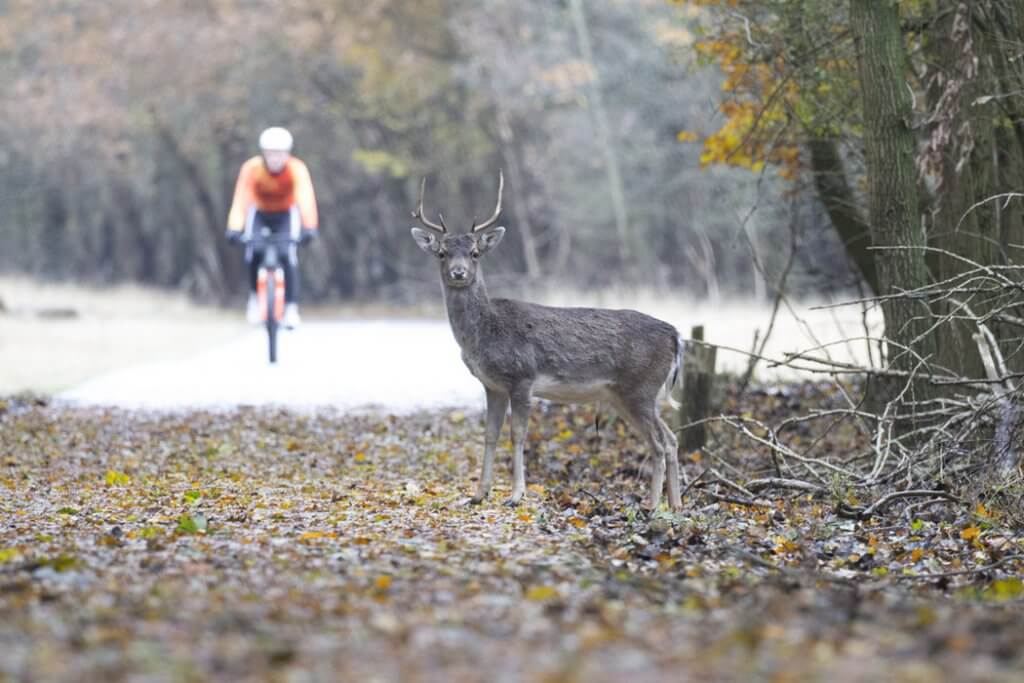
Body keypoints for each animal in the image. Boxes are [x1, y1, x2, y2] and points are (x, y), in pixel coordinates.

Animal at [409, 174, 688, 509]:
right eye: (442, 253)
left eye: (475, 252)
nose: (459, 272)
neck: (484, 335)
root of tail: (675, 335)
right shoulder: (492, 385)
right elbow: (489, 435)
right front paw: (478, 495)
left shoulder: (522, 376)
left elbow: (518, 435)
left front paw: (516, 495)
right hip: (628, 395)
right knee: (671, 439)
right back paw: (675, 505)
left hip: (640, 389)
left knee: (659, 443)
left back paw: (652, 505)